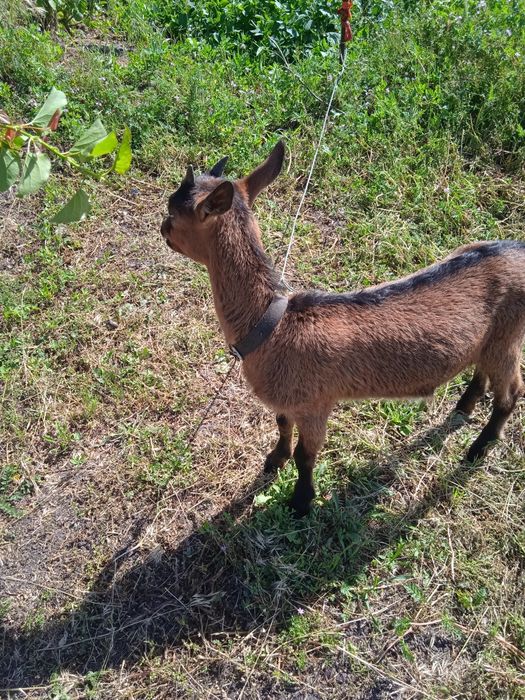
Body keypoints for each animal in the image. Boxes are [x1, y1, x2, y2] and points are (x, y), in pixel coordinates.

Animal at [161, 141, 525, 516]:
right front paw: (274, 461)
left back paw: (477, 449)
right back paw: (463, 406)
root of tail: (517, 250)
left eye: (172, 213)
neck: (272, 324)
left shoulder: (315, 402)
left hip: (509, 335)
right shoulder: (289, 401)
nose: (162, 231)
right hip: (489, 337)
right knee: (483, 370)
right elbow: (282, 426)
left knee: (511, 392)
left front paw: (301, 502)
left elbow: (306, 455)